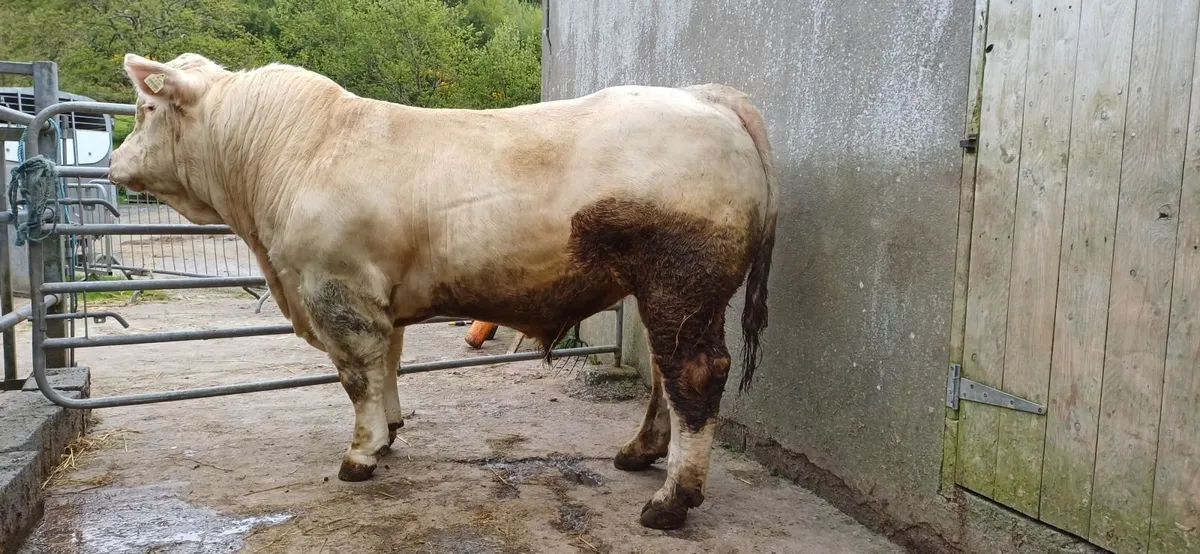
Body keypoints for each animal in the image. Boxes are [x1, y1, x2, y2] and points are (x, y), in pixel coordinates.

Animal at [108, 52, 778, 530]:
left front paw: (361, 454)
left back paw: (670, 502)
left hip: (681, 284)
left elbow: (356, 376)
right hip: (667, 293)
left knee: (692, 375)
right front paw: (391, 431)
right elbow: (388, 365)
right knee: (666, 375)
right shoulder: (379, 298)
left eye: (144, 109)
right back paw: (639, 453)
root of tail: (705, 96)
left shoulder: (335, 290)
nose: (114, 165)